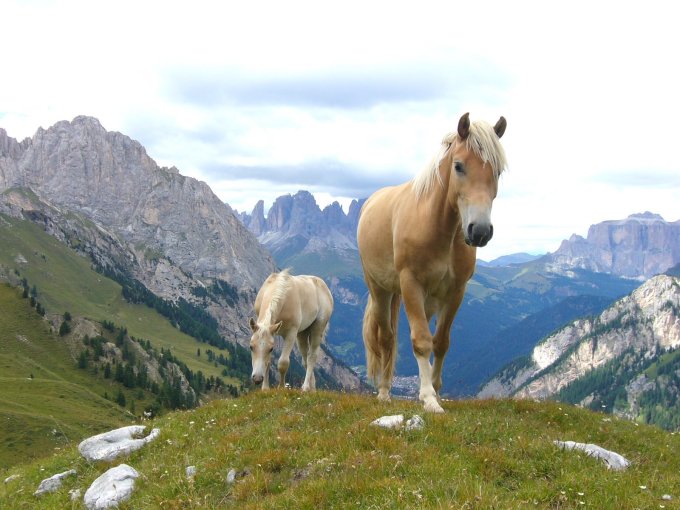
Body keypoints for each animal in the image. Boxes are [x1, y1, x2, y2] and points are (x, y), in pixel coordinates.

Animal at [358, 113, 508, 412]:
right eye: (459, 166)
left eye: (497, 171)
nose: (480, 231)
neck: (438, 227)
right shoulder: (410, 284)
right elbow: (421, 341)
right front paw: (428, 398)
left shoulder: (456, 291)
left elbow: (440, 342)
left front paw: (435, 390)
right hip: (380, 290)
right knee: (386, 338)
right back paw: (384, 390)